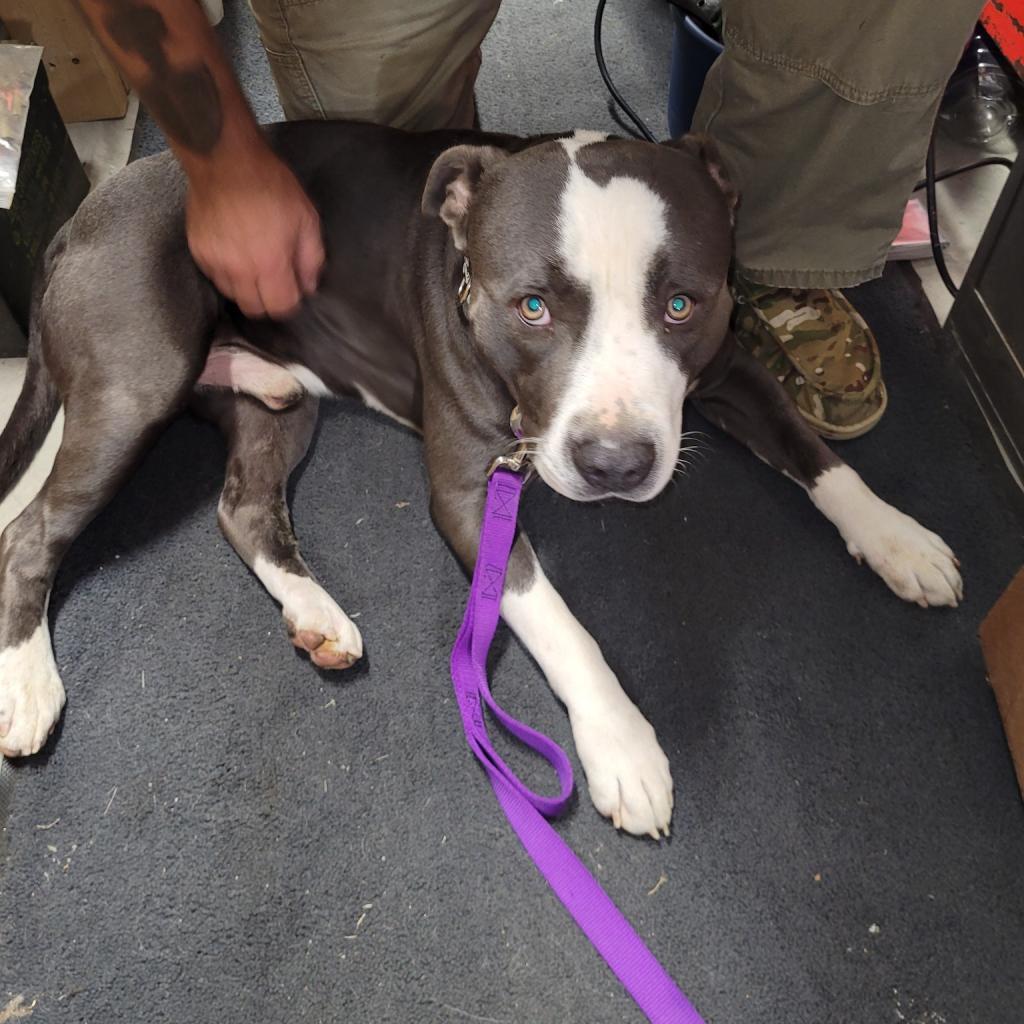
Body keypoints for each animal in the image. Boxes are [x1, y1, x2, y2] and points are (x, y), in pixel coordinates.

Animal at [0, 123, 958, 835]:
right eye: (530, 307)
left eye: (681, 303)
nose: (615, 466)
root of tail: (78, 217)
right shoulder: (468, 494)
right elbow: (560, 623)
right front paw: (621, 743)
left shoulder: (730, 370)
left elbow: (819, 456)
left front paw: (897, 537)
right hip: (137, 386)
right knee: (29, 531)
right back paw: (27, 685)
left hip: (280, 401)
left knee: (244, 507)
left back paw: (317, 617)